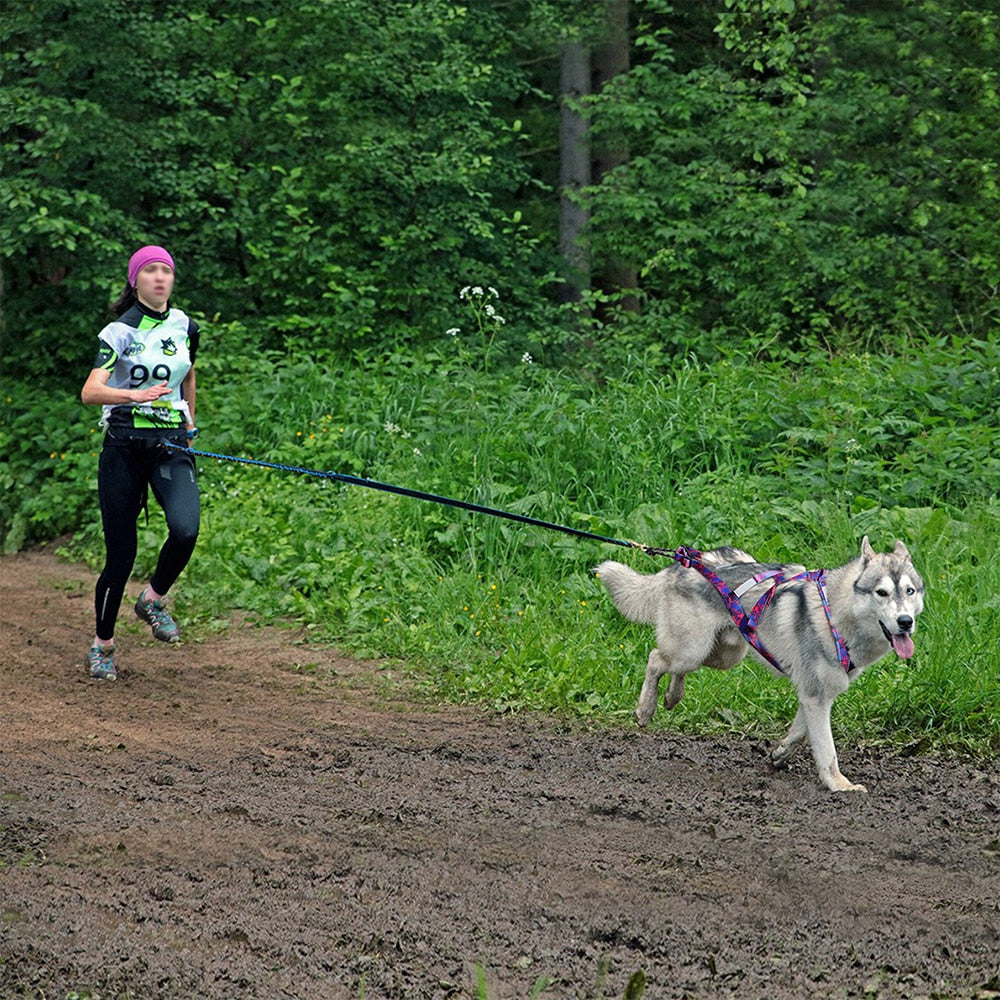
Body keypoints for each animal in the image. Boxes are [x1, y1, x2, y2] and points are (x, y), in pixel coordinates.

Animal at [596, 536, 924, 792]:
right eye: (881, 592)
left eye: (910, 591)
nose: (905, 622)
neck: (833, 613)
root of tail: (682, 563)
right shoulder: (815, 695)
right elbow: (827, 751)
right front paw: (839, 785)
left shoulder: (816, 694)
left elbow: (800, 732)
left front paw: (780, 754)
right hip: (691, 649)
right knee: (656, 658)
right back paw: (646, 708)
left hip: (723, 655)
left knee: (677, 669)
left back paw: (672, 696)